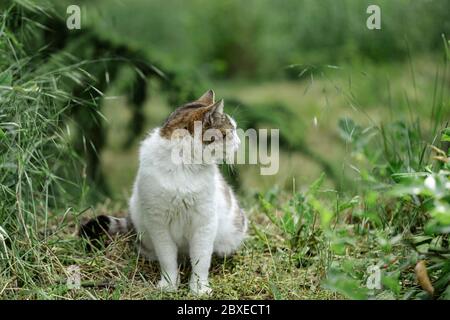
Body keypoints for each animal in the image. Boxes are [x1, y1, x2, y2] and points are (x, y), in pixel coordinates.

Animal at [81, 89, 250, 296]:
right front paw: (169, 285)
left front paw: (199, 288)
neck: (184, 165)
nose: (240, 142)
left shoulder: (204, 223)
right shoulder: (158, 225)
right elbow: (167, 258)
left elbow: (201, 260)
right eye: (230, 132)